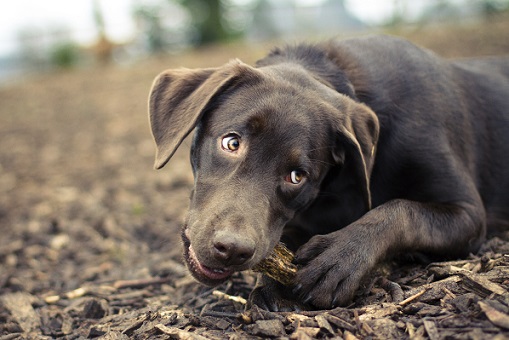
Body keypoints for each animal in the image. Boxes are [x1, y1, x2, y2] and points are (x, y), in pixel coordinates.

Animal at [147, 34, 508, 310]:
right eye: (231, 142)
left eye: (297, 176)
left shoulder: (469, 214)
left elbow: (400, 211)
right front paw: (271, 284)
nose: (233, 249)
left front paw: (338, 259)